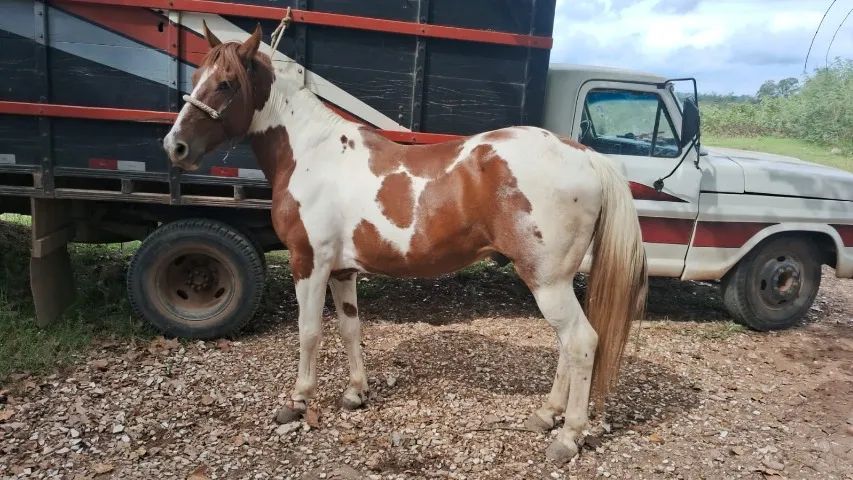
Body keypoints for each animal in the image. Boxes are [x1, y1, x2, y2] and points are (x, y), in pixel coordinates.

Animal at [162, 24, 648, 464]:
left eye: (226, 83)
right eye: (196, 76)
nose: (175, 146)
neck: (311, 154)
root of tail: (584, 154)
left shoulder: (309, 262)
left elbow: (309, 332)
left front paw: (297, 402)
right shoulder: (341, 269)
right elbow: (350, 328)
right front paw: (355, 393)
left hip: (547, 281)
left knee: (581, 342)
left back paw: (567, 437)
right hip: (555, 282)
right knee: (568, 347)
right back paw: (547, 416)